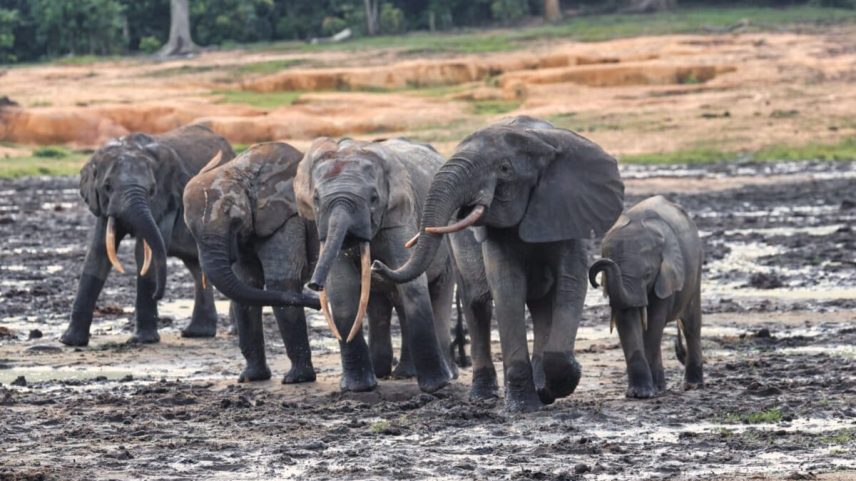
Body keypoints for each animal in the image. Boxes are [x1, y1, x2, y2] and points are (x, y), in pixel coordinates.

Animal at [61, 124, 236, 346]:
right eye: (107, 187)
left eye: (152, 190)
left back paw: (232, 332)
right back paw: (197, 333)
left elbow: (144, 253)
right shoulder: (103, 206)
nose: (158, 294)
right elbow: (98, 254)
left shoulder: (168, 201)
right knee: (197, 267)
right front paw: (70, 341)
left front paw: (143, 340)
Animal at [182, 142, 323, 384]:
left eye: (235, 220)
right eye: (190, 231)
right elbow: (247, 287)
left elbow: (280, 285)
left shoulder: (288, 219)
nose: (317, 303)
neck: (241, 170)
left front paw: (297, 379)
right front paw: (251, 378)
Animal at [294, 137, 455, 394]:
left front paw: (436, 387)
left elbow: (413, 285)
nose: (314, 284)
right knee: (381, 304)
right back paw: (389, 373)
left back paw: (445, 375)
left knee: (438, 293)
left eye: (373, 198)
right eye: (316, 199)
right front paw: (358, 388)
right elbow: (343, 288)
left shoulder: (399, 215)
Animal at [373, 116, 625, 412]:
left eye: (504, 169)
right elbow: (507, 287)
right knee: (477, 305)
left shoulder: (567, 210)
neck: (536, 138)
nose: (375, 265)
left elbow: (571, 283)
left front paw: (557, 384)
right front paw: (524, 406)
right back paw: (484, 396)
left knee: (540, 306)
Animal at [588, 195, 704, 398]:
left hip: (696, 267)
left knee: (691, 325)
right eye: (605, 279)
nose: (594, 280)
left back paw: (692, 385)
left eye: (648, 274)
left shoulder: (666, 277)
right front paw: (639, 393)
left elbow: (655, 320)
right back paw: (662, 386)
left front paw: (647, 393)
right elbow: (627, 320)